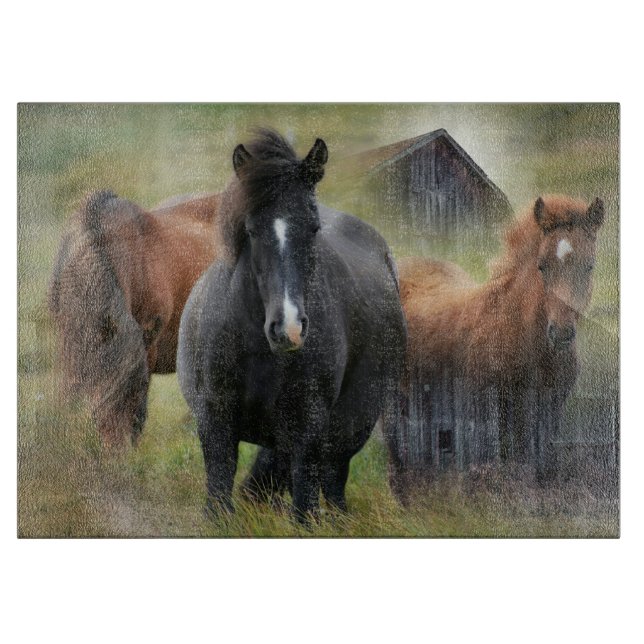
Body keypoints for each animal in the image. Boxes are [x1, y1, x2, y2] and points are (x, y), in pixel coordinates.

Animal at [177, 130, 406, 522]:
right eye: (251, 229)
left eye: (313, 228)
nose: (288, 329)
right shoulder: (214, 422)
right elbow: (219, 495)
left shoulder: (308, 430)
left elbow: (305, 506)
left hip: (348, 428)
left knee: (333, 483)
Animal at [384, 195, 605, 502]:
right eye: (541, 266)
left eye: (589, 266)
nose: (561, 333)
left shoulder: (548, 415)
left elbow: (541, 476)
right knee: (400, 470)